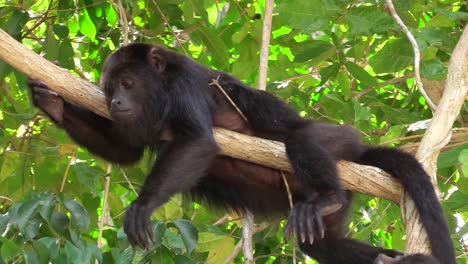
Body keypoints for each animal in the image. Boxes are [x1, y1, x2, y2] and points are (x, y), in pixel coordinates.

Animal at [27, 43, 456, 264]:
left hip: (341, 140)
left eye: (128, 83)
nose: (115, 102)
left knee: (301, 140)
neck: (158, 89)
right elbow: (126, 152)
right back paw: (389, 258)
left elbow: (197, 142)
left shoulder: (183, 85)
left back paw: (328, 195)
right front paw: (51, 103)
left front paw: (143, 205)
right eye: (109, 86)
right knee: (321, 244)